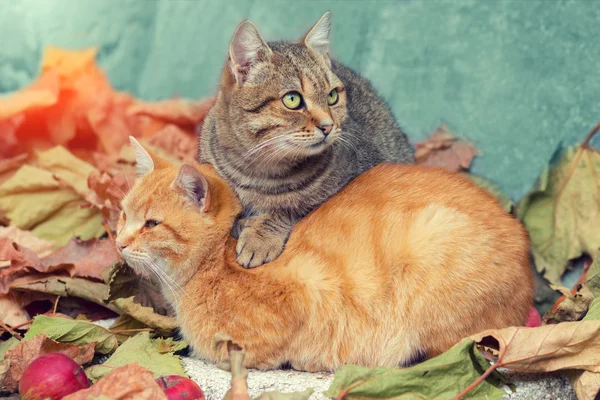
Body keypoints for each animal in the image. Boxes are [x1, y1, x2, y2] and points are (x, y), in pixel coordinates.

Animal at [118, 138, 536, 372]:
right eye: (123, 214)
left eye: (151, 223)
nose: (119, 242)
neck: (214, 266)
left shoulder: (305, 292)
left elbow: (248, 352)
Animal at [199, 12, 414, 268]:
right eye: (292, 99)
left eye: (332, 96)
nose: (328, 126)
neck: (259, 172)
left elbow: (289, 209)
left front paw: (259, 237)